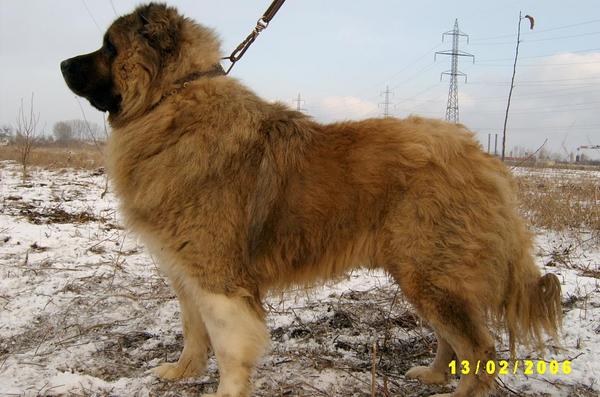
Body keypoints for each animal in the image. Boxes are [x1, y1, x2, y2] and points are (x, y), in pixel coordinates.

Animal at [58, 3, 560, 396]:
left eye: (109, 47)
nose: (62, 64)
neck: (171, 101)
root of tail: (480, 157)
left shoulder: (219, 278)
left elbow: (228, 346)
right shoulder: (187, 274)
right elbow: (193, 333)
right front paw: (182, 372)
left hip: (431, 271)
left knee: (480, 348)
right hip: (424, 273)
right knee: (453, 339)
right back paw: (434, 376)